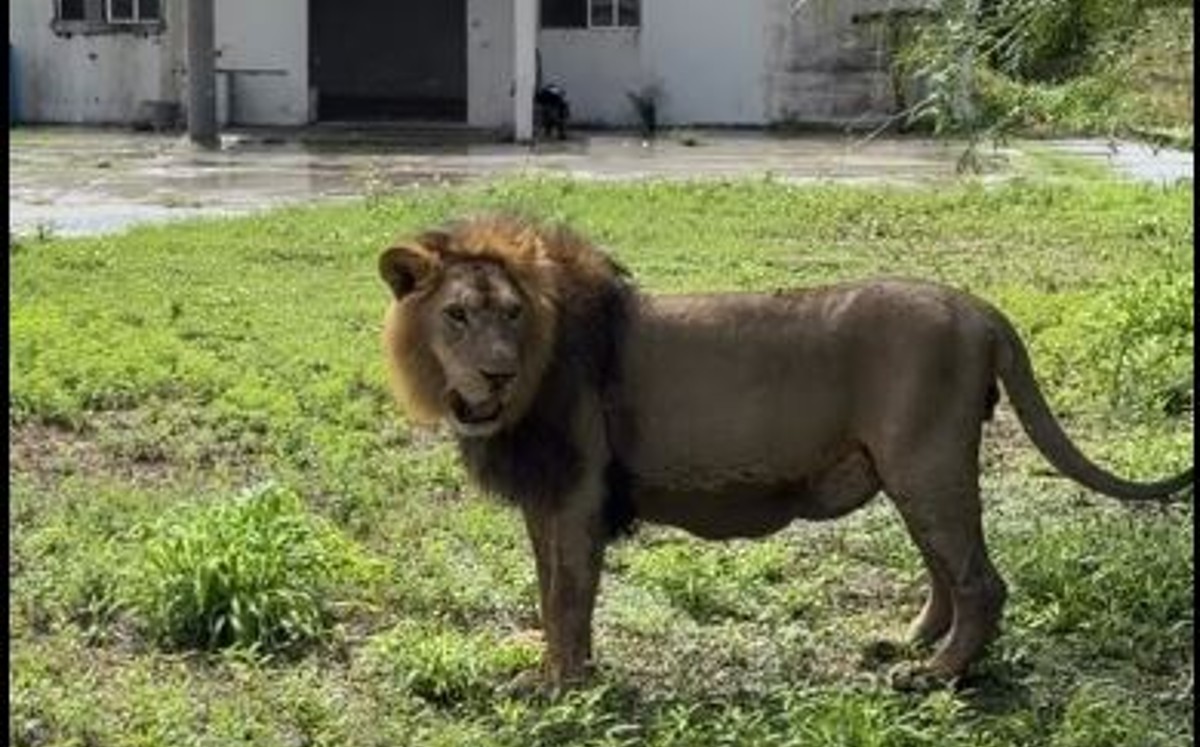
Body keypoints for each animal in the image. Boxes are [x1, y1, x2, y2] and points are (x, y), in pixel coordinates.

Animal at [378, 214, 1193, 690]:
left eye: (512, 315)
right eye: (457, 316)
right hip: (909, 469)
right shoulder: (545, 498)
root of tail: (977, 307)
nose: (496, 372)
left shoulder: (578, 490)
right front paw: (552, 671)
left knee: (980, 581)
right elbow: (549, 591)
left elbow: (570, 594)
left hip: (926, 462)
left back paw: (935, 675)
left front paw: (562, 687)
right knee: (945, 567)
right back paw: (905, 645)